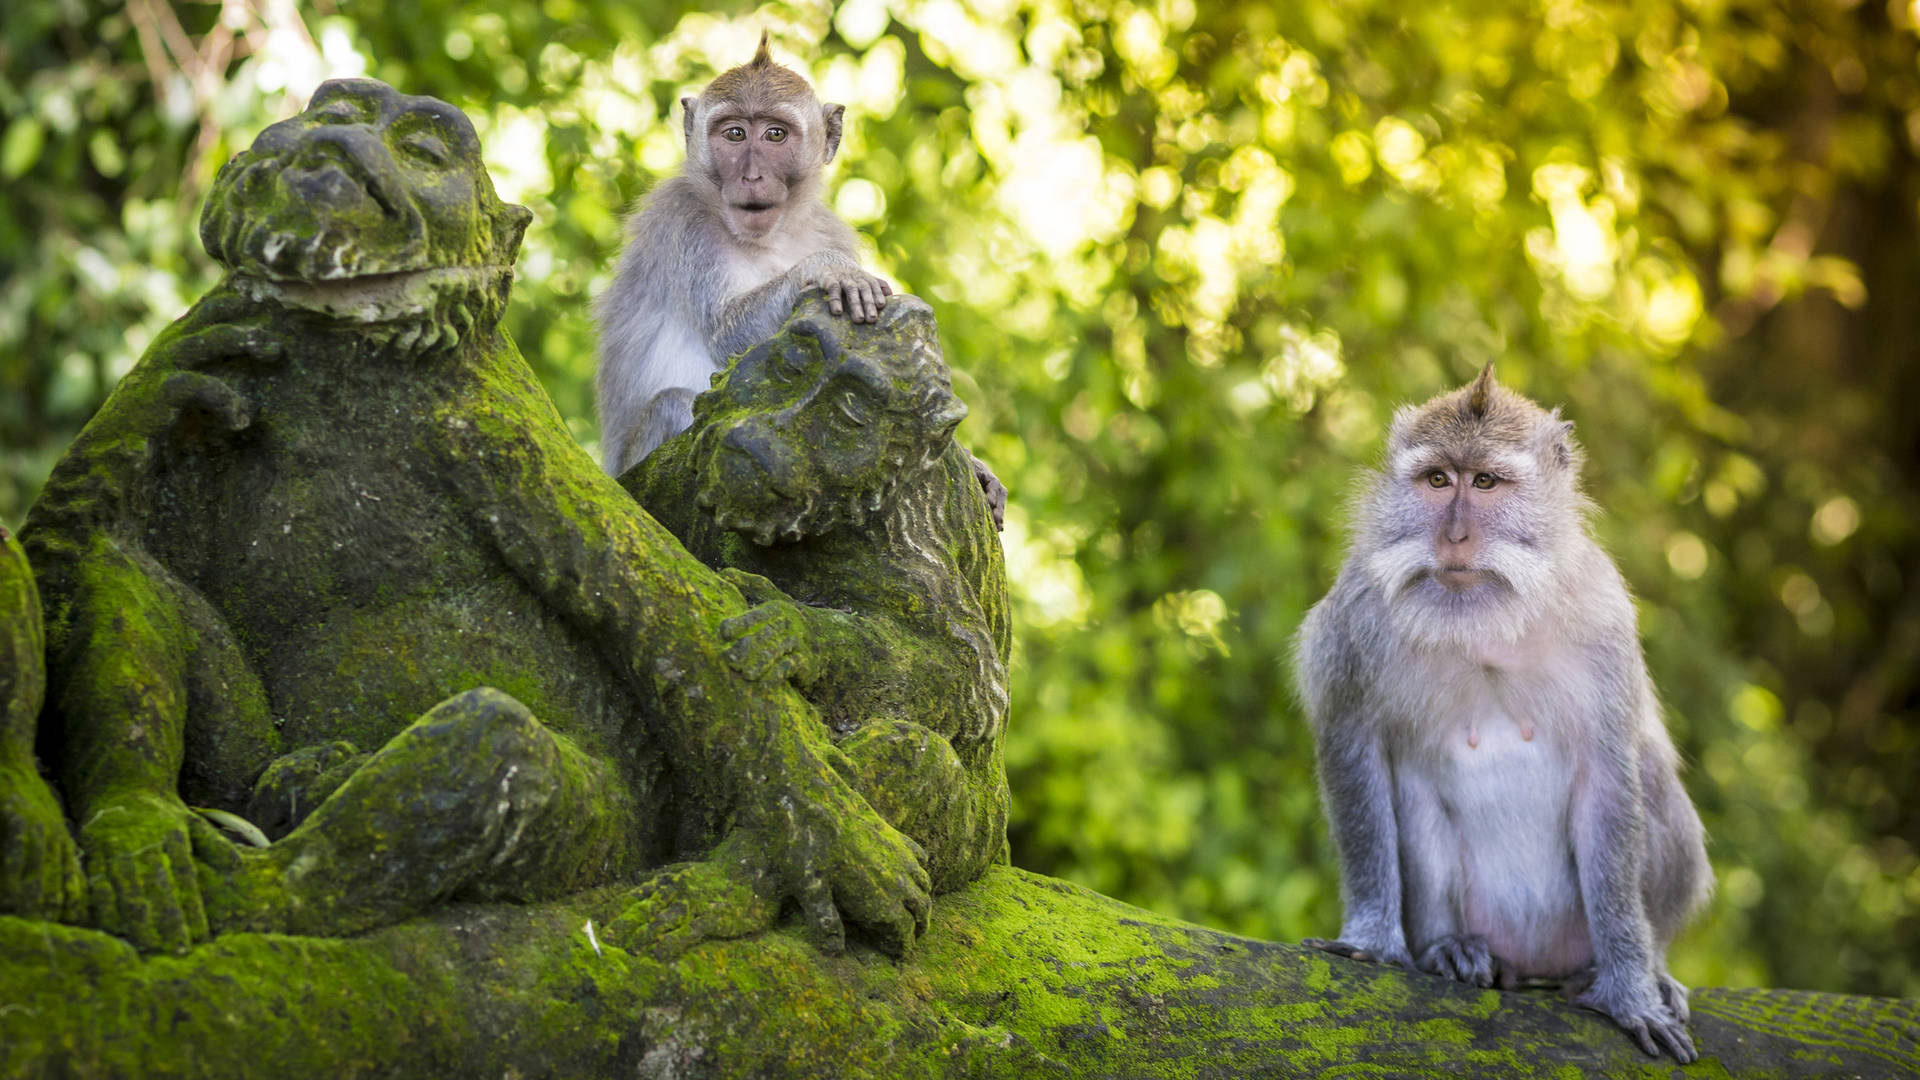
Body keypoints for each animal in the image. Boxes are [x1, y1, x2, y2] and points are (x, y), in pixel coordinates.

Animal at [595, 32, 894, 474]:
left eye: (775, 135)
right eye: (735, 134)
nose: (751, 176)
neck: (770, 238)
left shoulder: (831, 230)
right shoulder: (684, 223)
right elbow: (724, 333)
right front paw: (825, 269)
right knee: (673, 404)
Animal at [1290, 365, 1712, 1053]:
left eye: (1485, 481)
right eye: (1438, 480)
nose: (1454, 536)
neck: (1484, 622)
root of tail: (1532, 963)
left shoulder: (1603, 617)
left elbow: (1610, 778)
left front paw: (1630, 991)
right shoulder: (1355, 619)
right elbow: (1354, 751)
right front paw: (1374, 939)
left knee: (1649, 774)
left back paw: (1638, 968)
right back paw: (1450, 948)